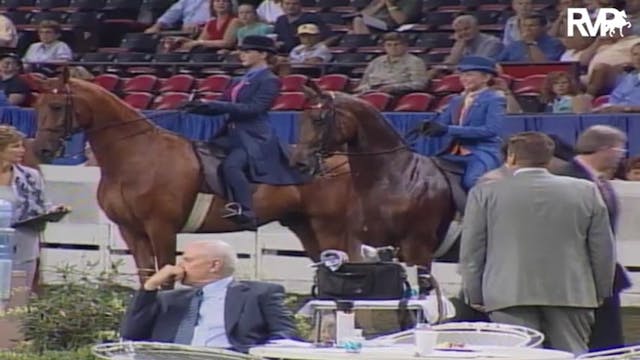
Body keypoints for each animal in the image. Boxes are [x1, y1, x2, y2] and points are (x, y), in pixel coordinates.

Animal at [30, 71, 360, 286]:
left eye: (56, 106)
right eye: (37, 107)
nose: (42, 149)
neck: (137, 154)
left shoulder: (161, 228)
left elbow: (163, 279)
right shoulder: (131, 232)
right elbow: (146, 279)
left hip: (329, 227)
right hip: (304, 226)